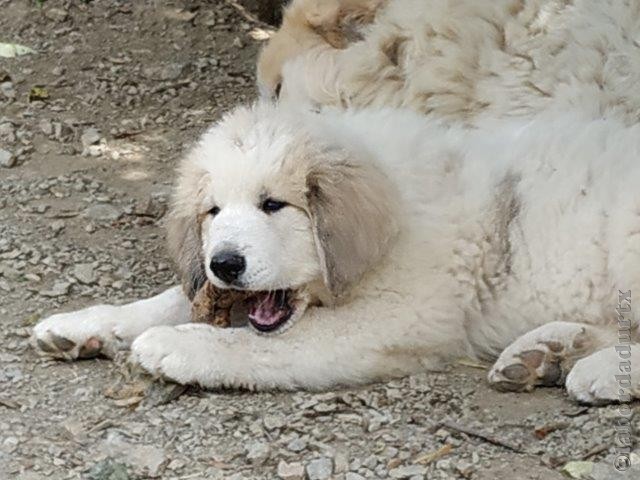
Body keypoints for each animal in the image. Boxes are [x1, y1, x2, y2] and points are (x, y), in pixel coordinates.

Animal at [32, 103, 640, 404]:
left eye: (273, 205)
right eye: (213, 212)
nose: (224, 263)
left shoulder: (396, 316)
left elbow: (276, 345)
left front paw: (181, 346)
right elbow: (168, 300)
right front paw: (82, 324)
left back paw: (599, 372)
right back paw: (546, 352)